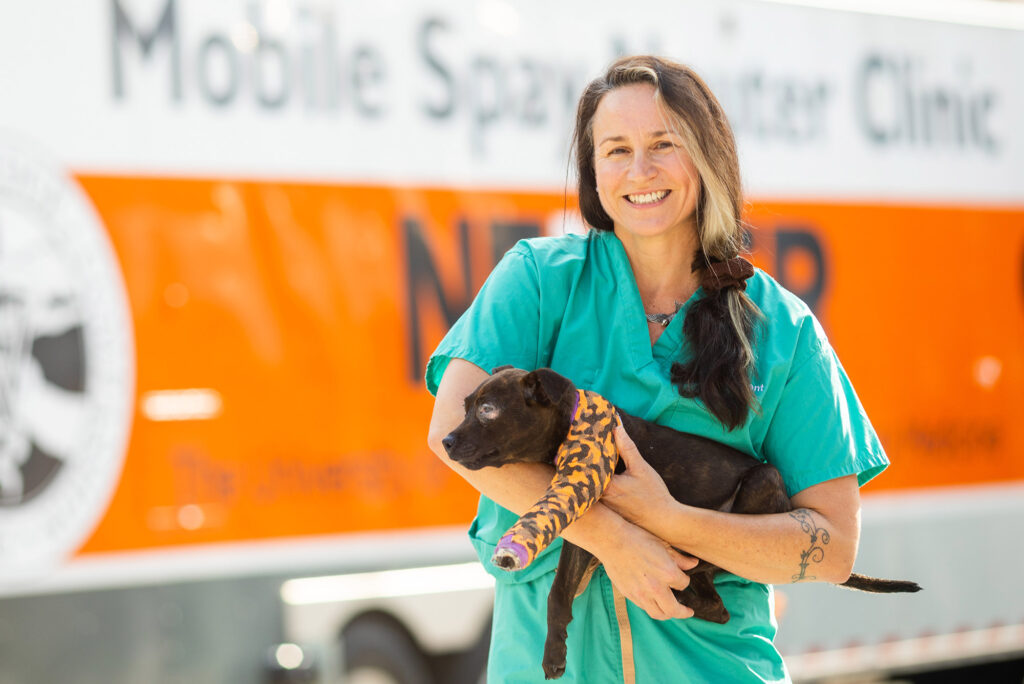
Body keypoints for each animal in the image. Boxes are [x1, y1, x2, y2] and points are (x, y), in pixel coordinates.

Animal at [444, 366, 925, 675]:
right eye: (465, 405)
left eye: (487, 410)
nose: (446, 441)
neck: (573, 431)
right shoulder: (587, 529)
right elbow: (558, 593)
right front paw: (554, 653)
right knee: (714, 604)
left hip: (762, 482)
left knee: (714, 580)